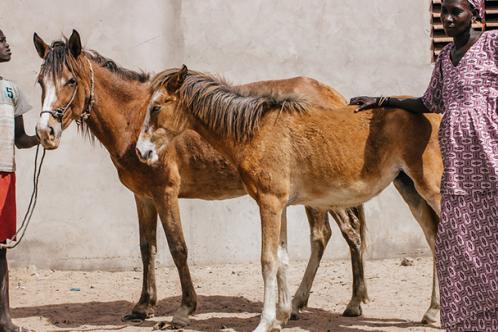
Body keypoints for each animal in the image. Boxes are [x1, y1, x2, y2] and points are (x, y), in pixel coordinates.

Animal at [32, 30, 370, 326]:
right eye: (40, 82)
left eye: (71, 80)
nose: (45, 132)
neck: (135, 119)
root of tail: (333, 97)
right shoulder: (143, 197)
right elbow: (147, 247)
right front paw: (143, 305)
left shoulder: (165, 192)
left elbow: (177, 247)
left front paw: (185, 308)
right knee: (331, 236)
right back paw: (310, 303)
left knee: (342, 234)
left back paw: (345, 302)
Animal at [137, 66, 444, 330]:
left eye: (156, 107)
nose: (142, 151)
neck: (256, 132)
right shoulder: (280, 205)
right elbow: (282, 258)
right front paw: (282, 316)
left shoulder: (269, 203)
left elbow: (268, 261)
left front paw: (264, 322)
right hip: (411, 191)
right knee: (434, 238)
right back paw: (431, 312)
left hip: (433, 191)